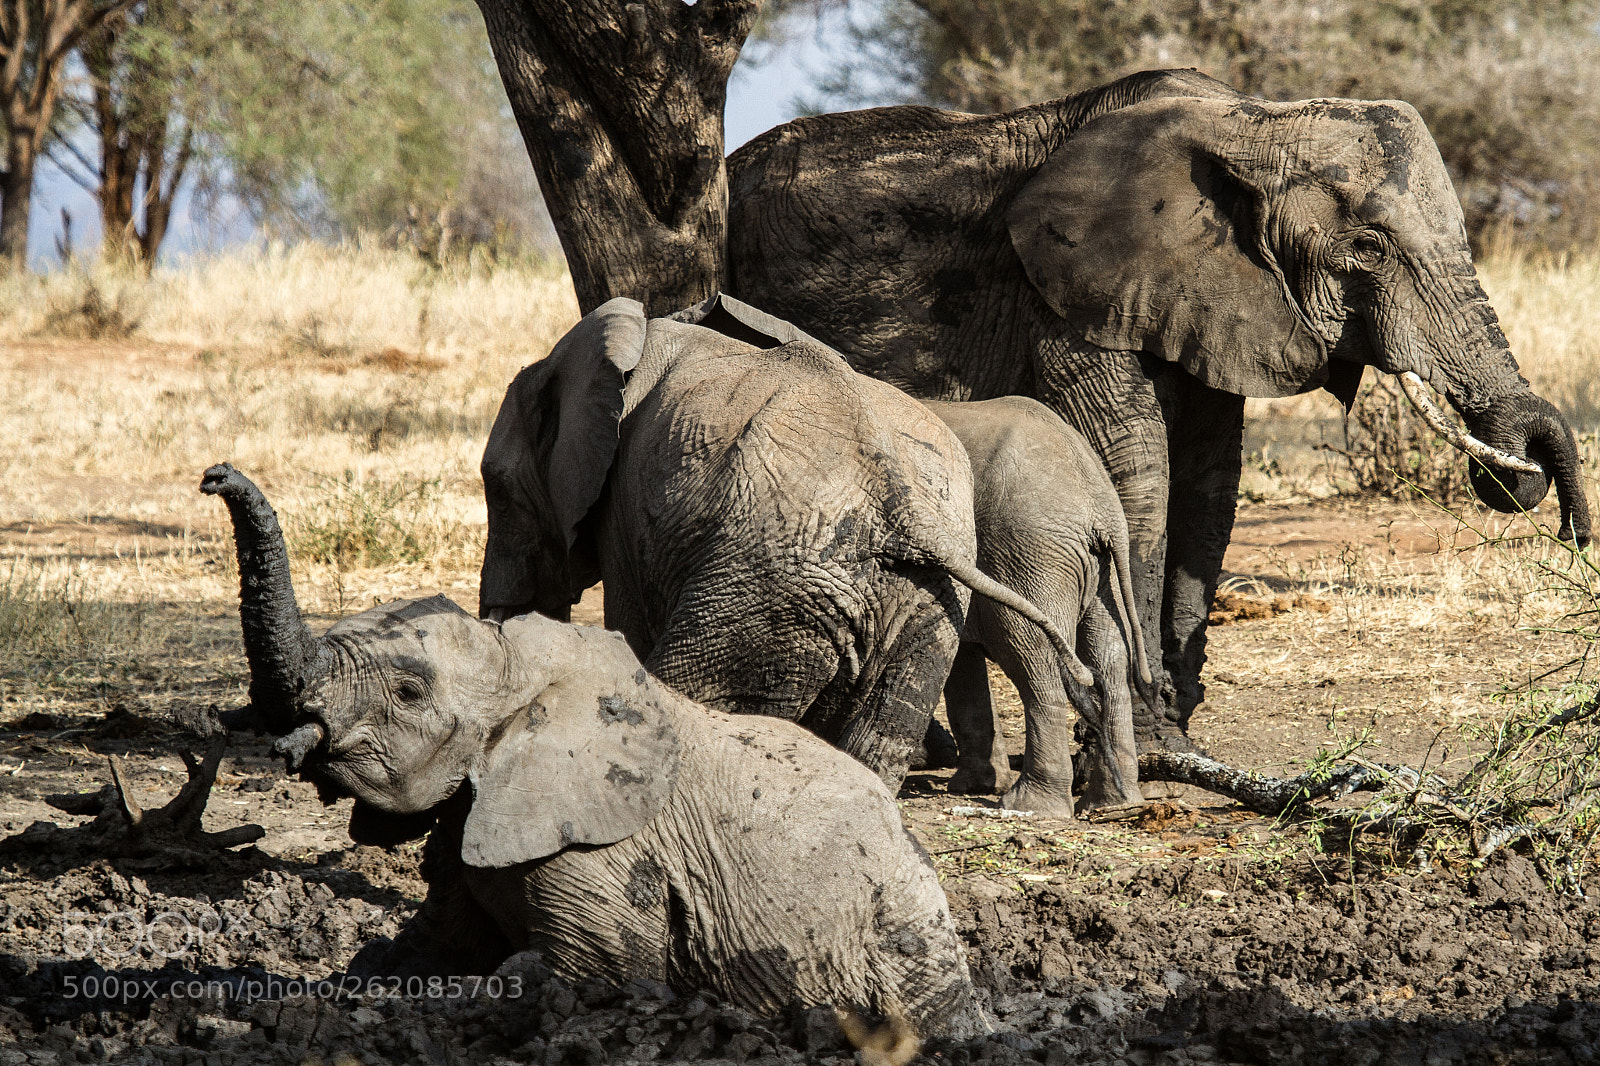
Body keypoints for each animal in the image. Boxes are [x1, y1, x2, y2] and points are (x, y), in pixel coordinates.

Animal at [203, 464, 985, 1030]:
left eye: (409, 692)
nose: (213, 476)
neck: (519, 666)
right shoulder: (481, 808)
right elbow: (432, 944)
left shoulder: (604, 851)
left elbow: (598, 975)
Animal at [473, 288, 1075, 781]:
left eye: (496, 489)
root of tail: (903, 509)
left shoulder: (624, 508)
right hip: (923, 606)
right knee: (880, 735)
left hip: (763, 593)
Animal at [732, 68, 1593, 745]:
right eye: (1368, 250)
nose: (1573, 532)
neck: (1252, 120)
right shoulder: (1069, 293)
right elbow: (1136, 471)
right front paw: (1147, 738)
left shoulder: (1216, 297)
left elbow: (1211, 483)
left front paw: (1175, 729)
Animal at [928, 398, 1152, 813]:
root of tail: (1100, 506)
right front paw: (974, 786)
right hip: (1099, 569)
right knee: (1109, 661)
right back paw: (1115, 804)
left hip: (1028, 553)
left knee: (1032, 659)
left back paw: (1030, 806)